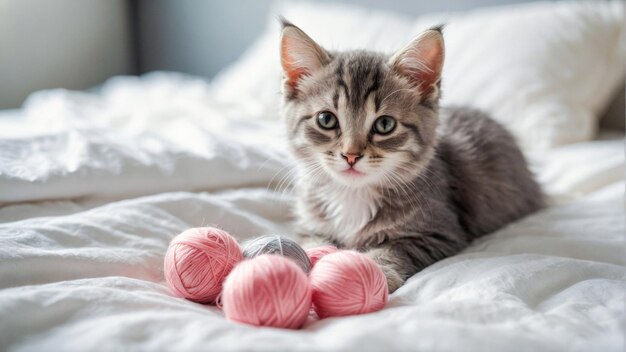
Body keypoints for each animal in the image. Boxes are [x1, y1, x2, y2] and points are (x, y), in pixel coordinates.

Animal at [278, 20, 540, 292]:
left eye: (384, 125)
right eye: (326, 119)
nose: (351, 155)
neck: (353, 194)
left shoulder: (438, 231)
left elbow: (392, 250)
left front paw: (376, 272)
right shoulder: (310, 226)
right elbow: (311, 244)